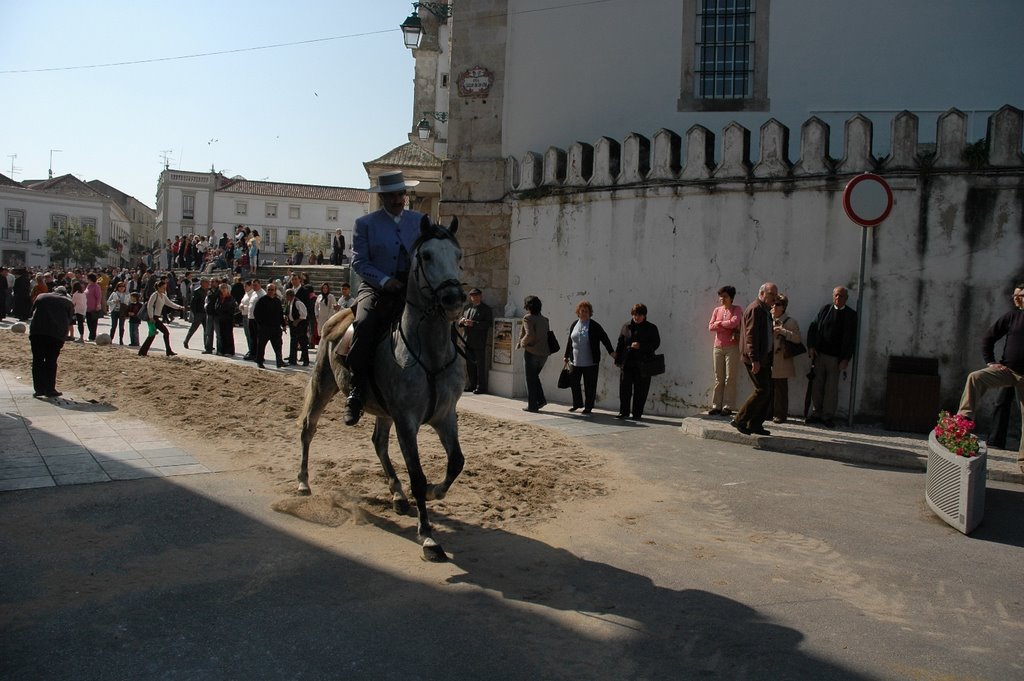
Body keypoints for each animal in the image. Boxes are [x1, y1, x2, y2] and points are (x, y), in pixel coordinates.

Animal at [299, 215, 468, 561]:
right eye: (426, 255)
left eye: (458, 256)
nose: (453, 299)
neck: (429, 351)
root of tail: (338, 313)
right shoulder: (406, 421)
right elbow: (417, 474)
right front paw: (428, 536)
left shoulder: (445, 416)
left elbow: (456, 462)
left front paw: (435, 492)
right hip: (323, 385)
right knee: (308, 428)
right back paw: (303, 483)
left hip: (382, 410)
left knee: (378, 443)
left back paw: (397, 495)